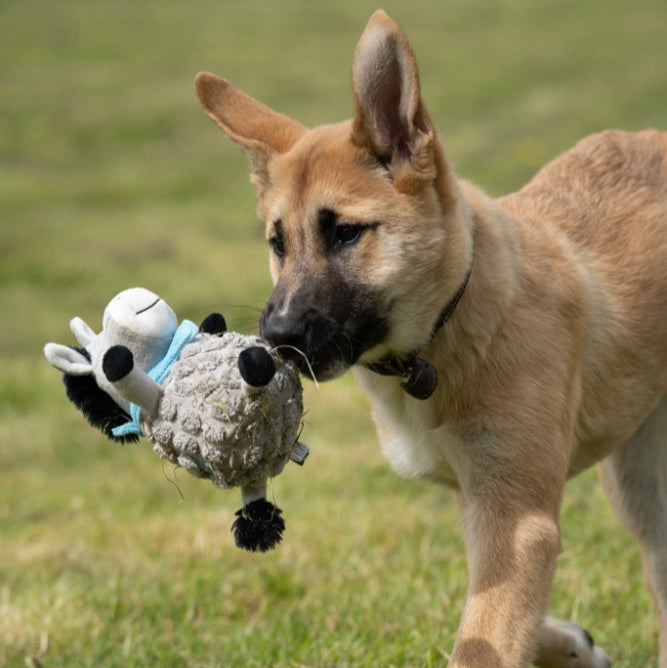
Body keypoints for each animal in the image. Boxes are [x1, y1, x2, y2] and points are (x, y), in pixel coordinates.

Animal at [195, 10, 667, 667]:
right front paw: (573, 643)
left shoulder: (517, 517)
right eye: (277, 242)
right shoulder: (483, 506)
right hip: (641, 482)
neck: (449, 326)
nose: (274, 343)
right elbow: (497, 615)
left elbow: (483, 636)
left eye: (346, 233)